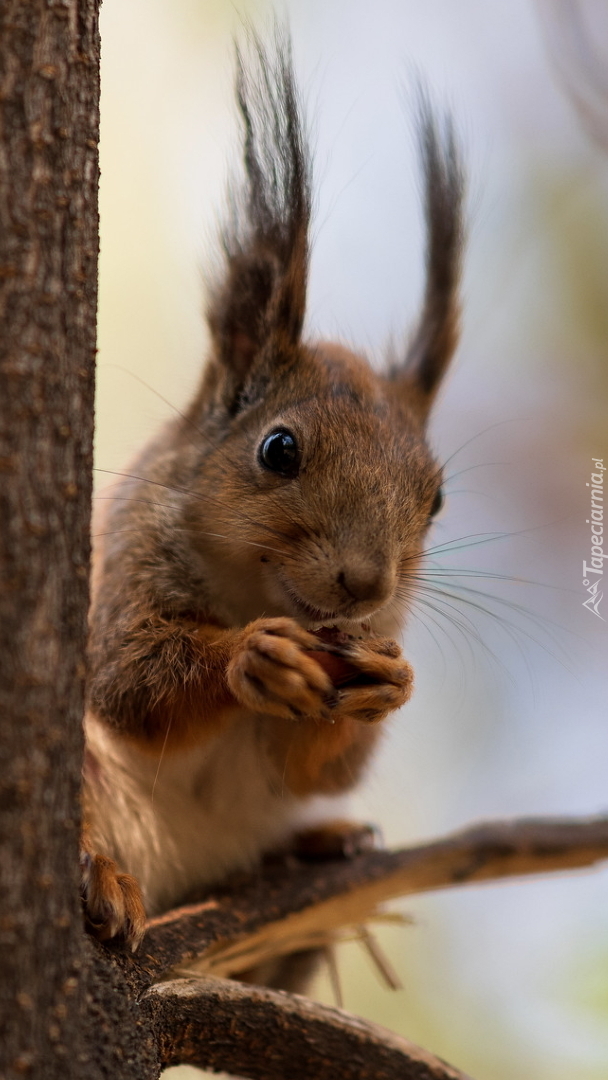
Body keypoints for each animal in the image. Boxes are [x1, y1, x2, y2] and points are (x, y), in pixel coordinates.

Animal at [80, 31, 466, 963]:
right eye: (278, 448)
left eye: (436, 498)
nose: (365, 584)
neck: (251, 589)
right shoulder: (124, 567)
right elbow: (128, 683)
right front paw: (247, 658)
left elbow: (316, 768)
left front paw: (392, 682)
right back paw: (103, 879)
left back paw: (321, 840)